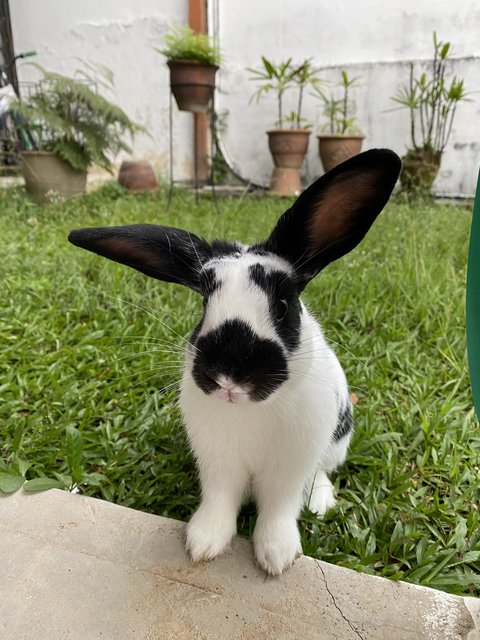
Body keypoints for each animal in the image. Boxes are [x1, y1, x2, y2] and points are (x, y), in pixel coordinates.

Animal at [68, 149, 402, 576]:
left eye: (283, 304)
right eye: (203, 303)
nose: (227, 375)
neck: (248, 411)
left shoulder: (289, 469)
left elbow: (279, 508)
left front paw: (276, 556)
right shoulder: (217, 462)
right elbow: (220, 501)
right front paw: (203, 543)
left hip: (336, 442)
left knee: (323, 472)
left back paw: (321, 501)